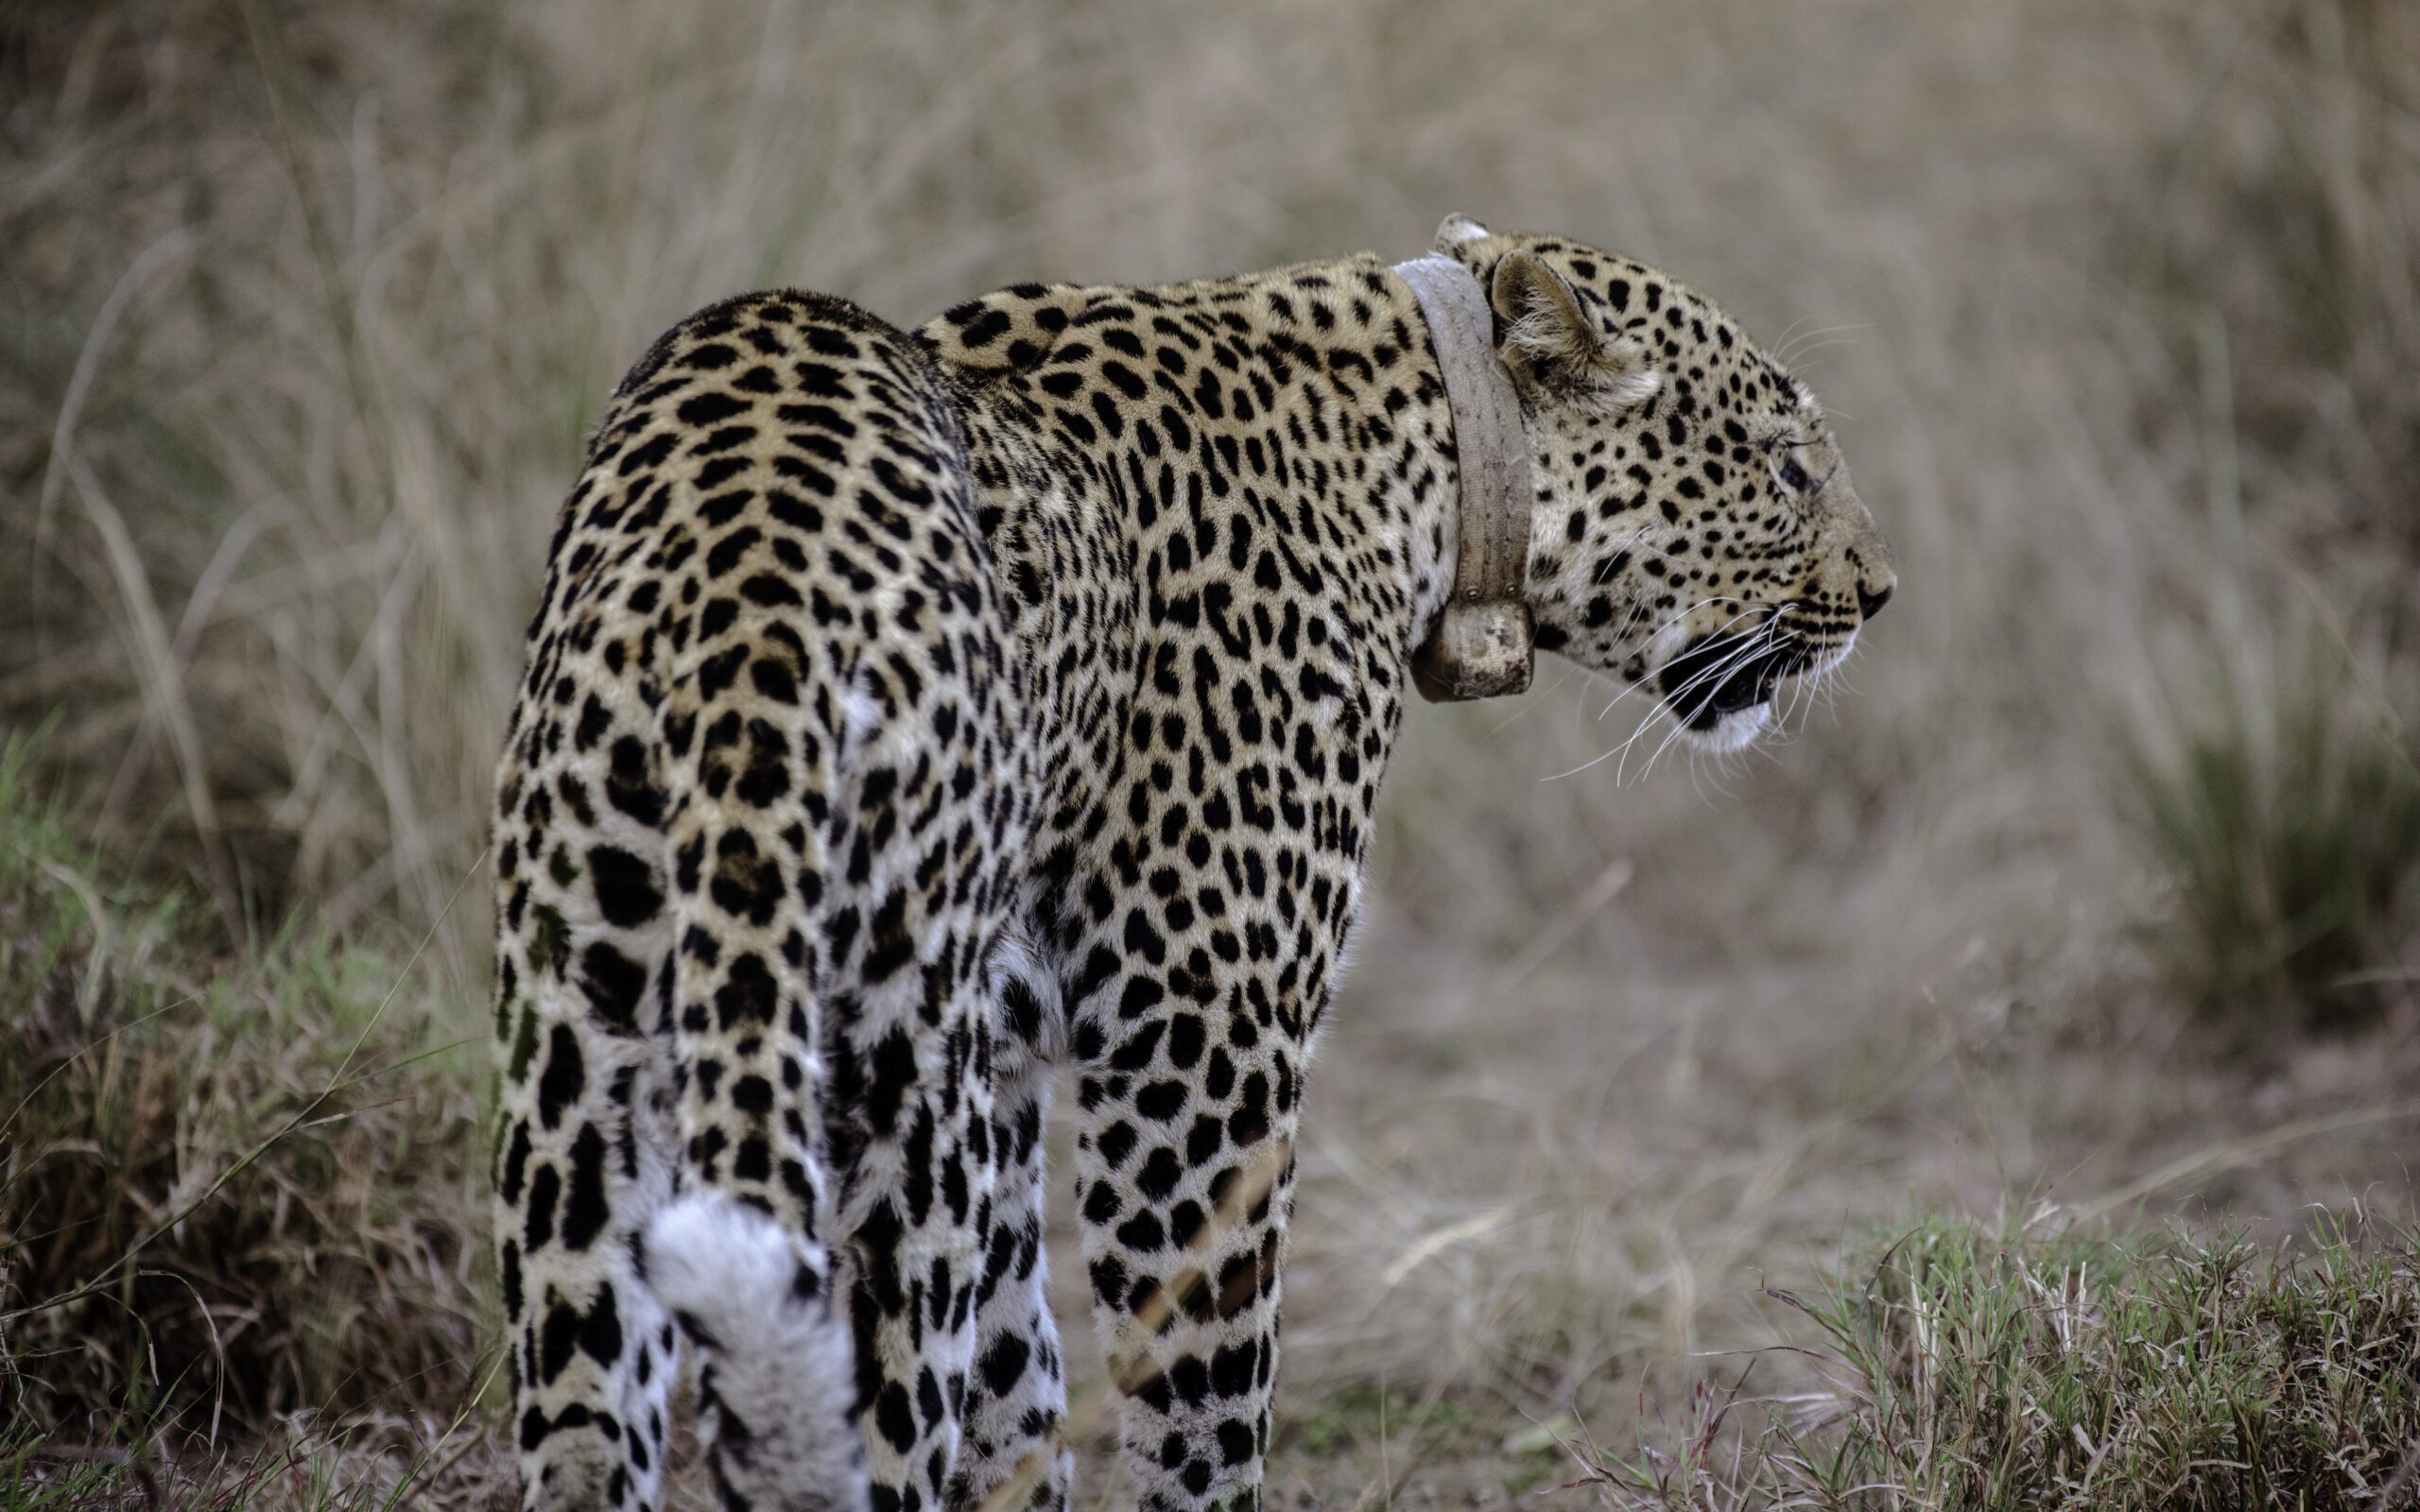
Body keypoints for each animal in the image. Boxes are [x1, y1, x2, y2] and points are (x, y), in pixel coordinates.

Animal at [489, 213, 1895, 1512]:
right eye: (1789, 467)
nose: (1880, 591)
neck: (1428, 451)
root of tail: (744, 562)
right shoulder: (1199, 1047)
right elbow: (1202, 1394)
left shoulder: (1009, 1061)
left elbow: (1018, 1378)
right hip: (889, 1071)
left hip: (581, 1045)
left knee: (588, 1410)